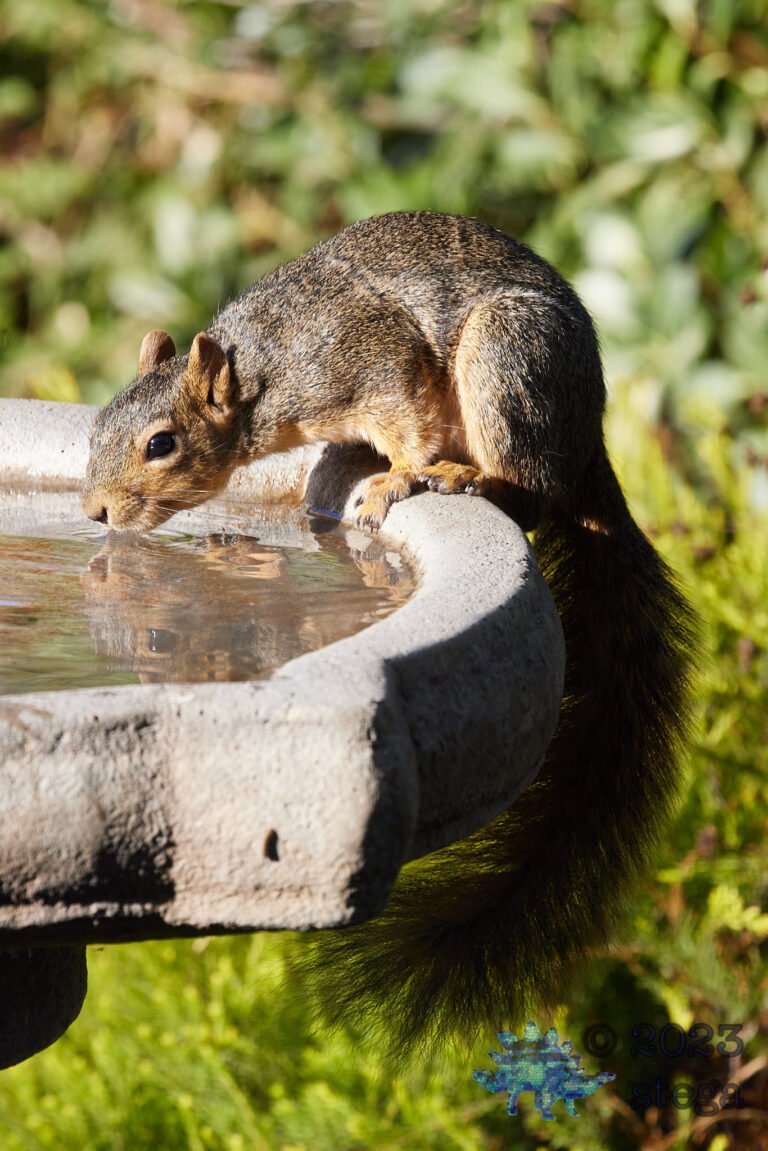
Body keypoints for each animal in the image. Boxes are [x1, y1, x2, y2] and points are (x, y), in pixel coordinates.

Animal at [82, 211, 697, 1059]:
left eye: (161, 443)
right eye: (96, 428)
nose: (96, 513)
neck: (267, 371)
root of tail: (589, 442)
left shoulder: (371, 362)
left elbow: (405, 417)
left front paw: (398, 474)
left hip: (508, 360)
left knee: (531, 492)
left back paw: (461, 477)